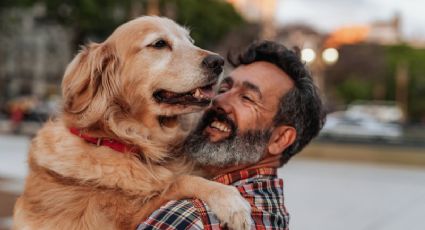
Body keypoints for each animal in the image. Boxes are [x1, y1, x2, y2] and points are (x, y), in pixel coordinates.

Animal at [13, 16, 250, 230]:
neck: (123, 141)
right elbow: (180, 181)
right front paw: (232, 201)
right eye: (159, 44)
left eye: (190, 40)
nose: (218, 61)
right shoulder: (121, 219)